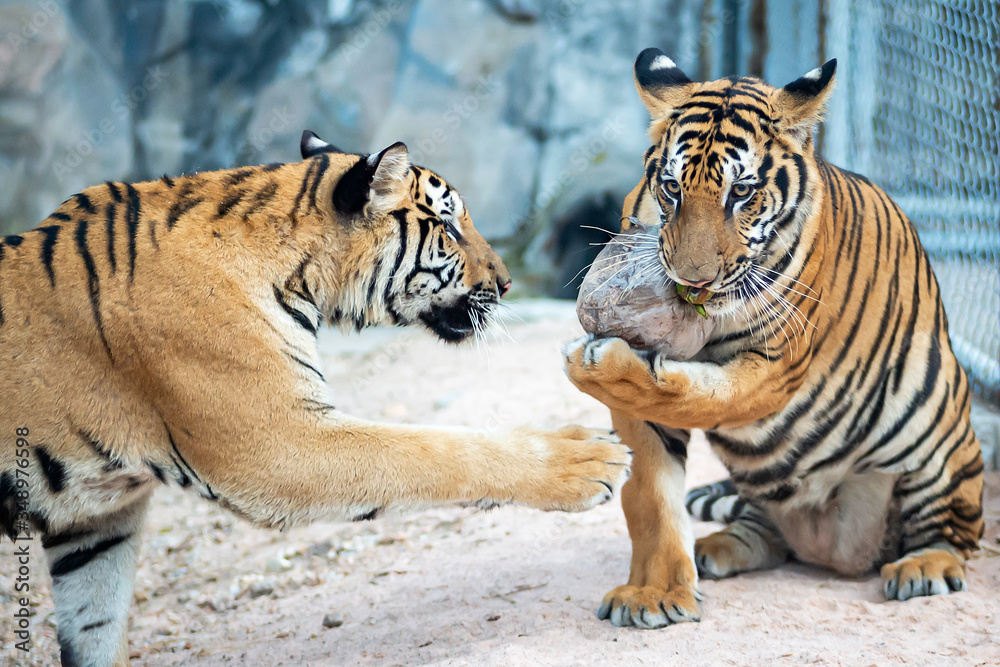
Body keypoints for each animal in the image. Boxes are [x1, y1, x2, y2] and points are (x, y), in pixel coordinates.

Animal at [0, 129, 631, 665]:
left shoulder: (99, 519)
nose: (505, 283)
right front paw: (588, 459)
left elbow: (97, 625)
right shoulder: (279, 445)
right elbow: (431, 450)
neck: (300, 267)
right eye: (450, 228)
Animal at [563, 48, 984, 629]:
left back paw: (925, 566)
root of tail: (836, 551)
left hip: (933, 425)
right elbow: (650, 496)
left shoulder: (777, 367)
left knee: (953, 532)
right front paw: (655, 594)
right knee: (764, 531)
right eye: (672, 188)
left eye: (741, 192)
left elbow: (700, 395)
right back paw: (714, 548)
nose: (693, 280)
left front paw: (597, 368)